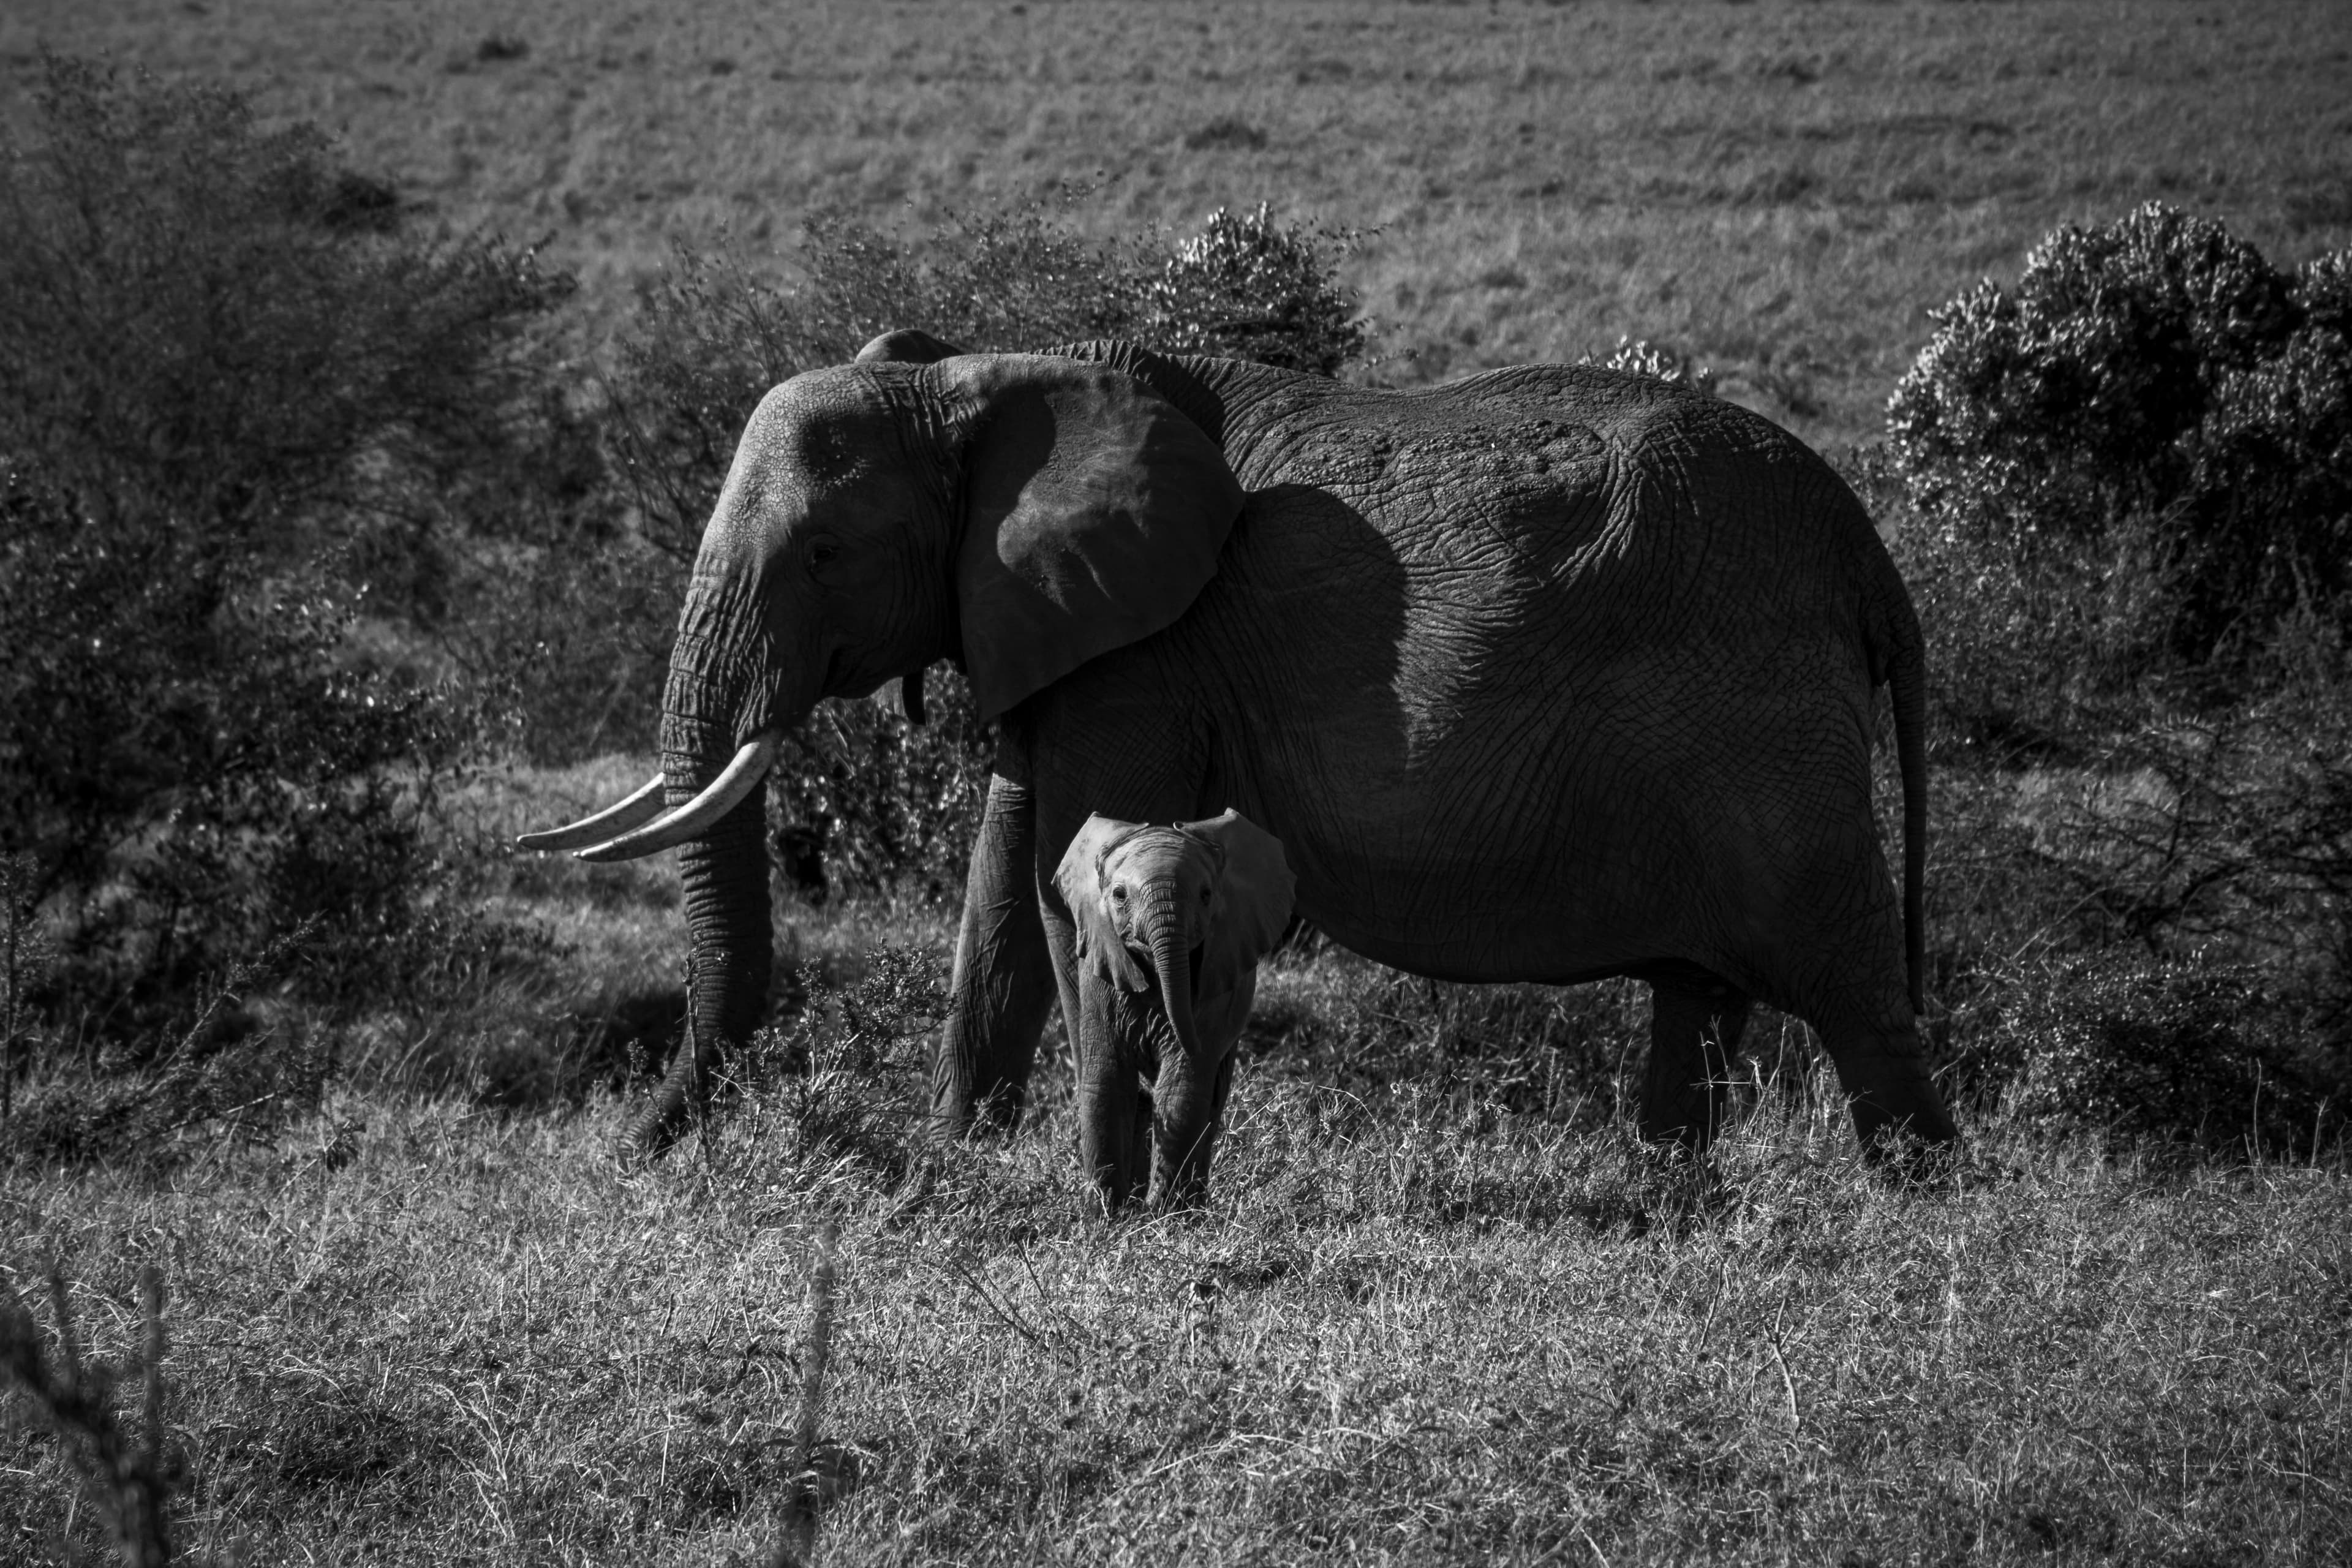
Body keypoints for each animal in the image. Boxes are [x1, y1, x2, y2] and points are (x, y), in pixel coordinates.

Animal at [520, 327, 1960, 1169]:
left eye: (824, 553)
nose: (631, 1152)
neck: (981, 374)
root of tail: (1872, 560)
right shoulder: (1063, 628)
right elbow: (1004, 892)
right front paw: (960, 1178)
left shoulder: (1146, 649)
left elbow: (1056, 877)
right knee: (1699, 1007)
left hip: (1762, 731)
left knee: (1854, 995)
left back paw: (1916, 1216)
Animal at [1052, 809, 1295, 1209]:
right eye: (1119, 896)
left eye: (1206, 895)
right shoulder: (1099, 974)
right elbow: (1108, 1083)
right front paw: (1106, 1214)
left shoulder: (1217, 982)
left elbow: (1182, 1088)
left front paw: (1160, 1215)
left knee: (1210, 1102)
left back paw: (1191, 1208)